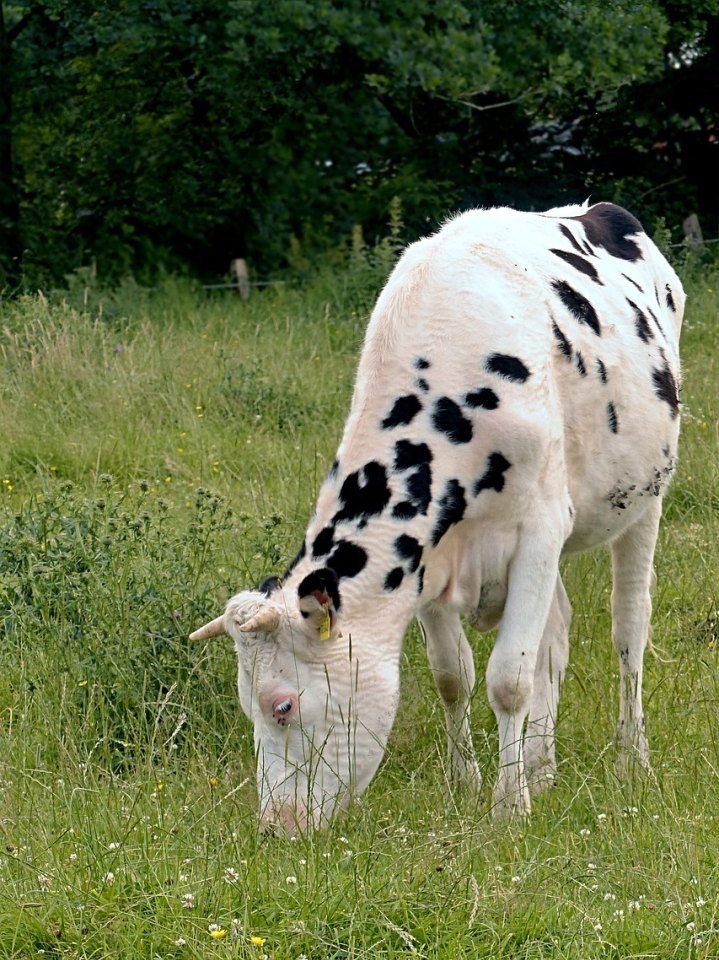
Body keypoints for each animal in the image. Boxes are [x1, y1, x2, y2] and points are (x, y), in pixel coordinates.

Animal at [191, 201, 688, 832]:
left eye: (282, 705)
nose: (277, 824)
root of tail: (596, 208)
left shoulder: (540, 529)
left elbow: (509, 678)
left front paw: (509, 807)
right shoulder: (427, 558)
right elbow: (454, 674)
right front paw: (467, 782)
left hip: (644, 497)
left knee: (628, 625)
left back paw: (630, 757)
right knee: (556, 631)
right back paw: (542, 767)